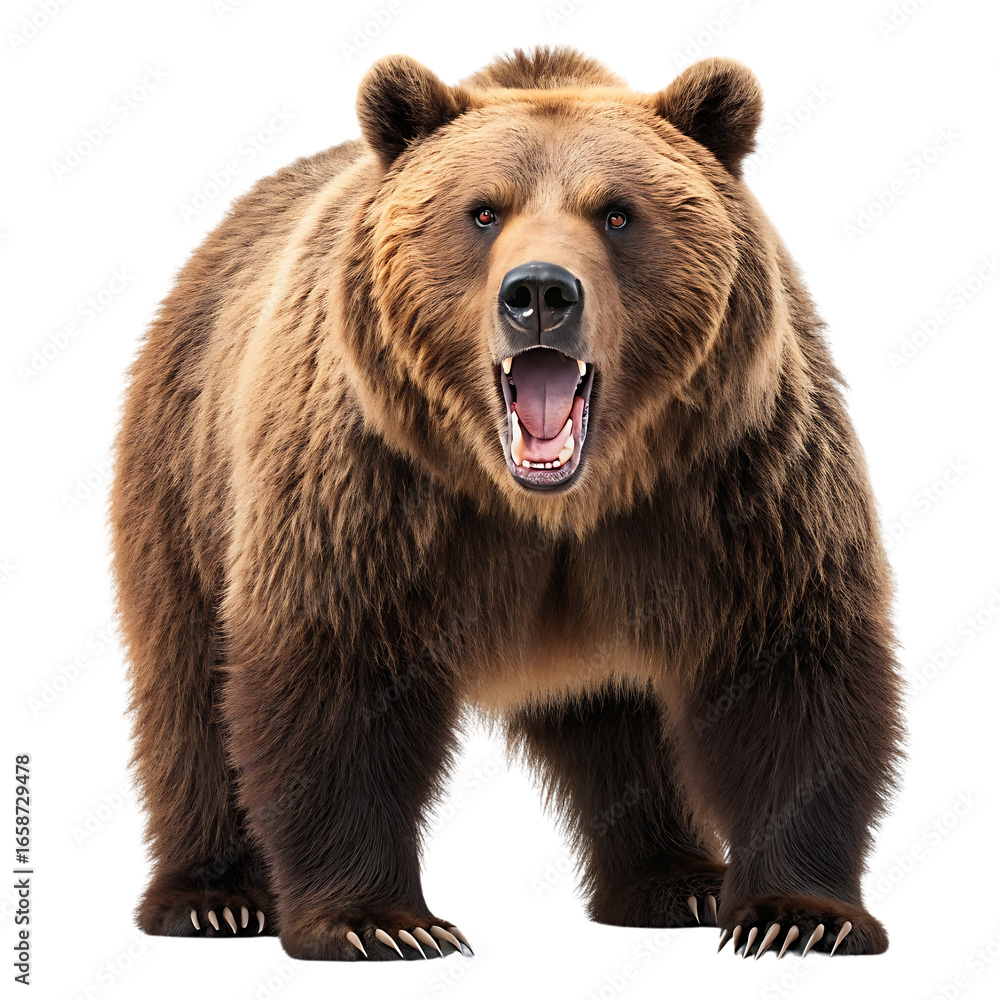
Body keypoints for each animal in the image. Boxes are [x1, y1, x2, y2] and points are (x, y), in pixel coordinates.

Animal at [111, 46, 904, 962]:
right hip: (187, 474)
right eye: (483, 211)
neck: (554, 503)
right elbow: (333, 666)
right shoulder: (374, 481)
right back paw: (212, 898)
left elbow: (787, 658)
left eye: (618, 213)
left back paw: (678, 880)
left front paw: (800, 914)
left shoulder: (731, 477)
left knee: (622, 726)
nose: (540, 294)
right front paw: (382, 923)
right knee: (188, 685)